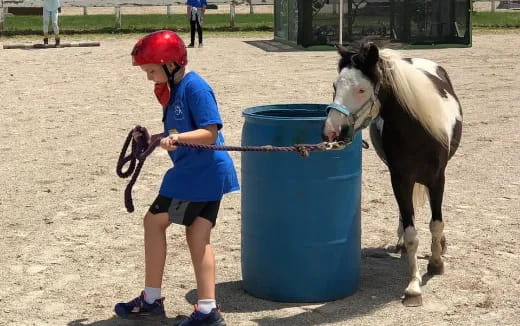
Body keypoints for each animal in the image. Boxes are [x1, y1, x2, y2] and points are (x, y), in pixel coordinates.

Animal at [320, 41, 464, 306]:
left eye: (362, 89)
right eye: (335, 86)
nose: (331, 132)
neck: (417, 130)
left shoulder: (438, 178)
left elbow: (436, 223)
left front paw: (436, 263)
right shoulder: (400, 178)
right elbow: (411, 232)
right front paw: (414, 287)